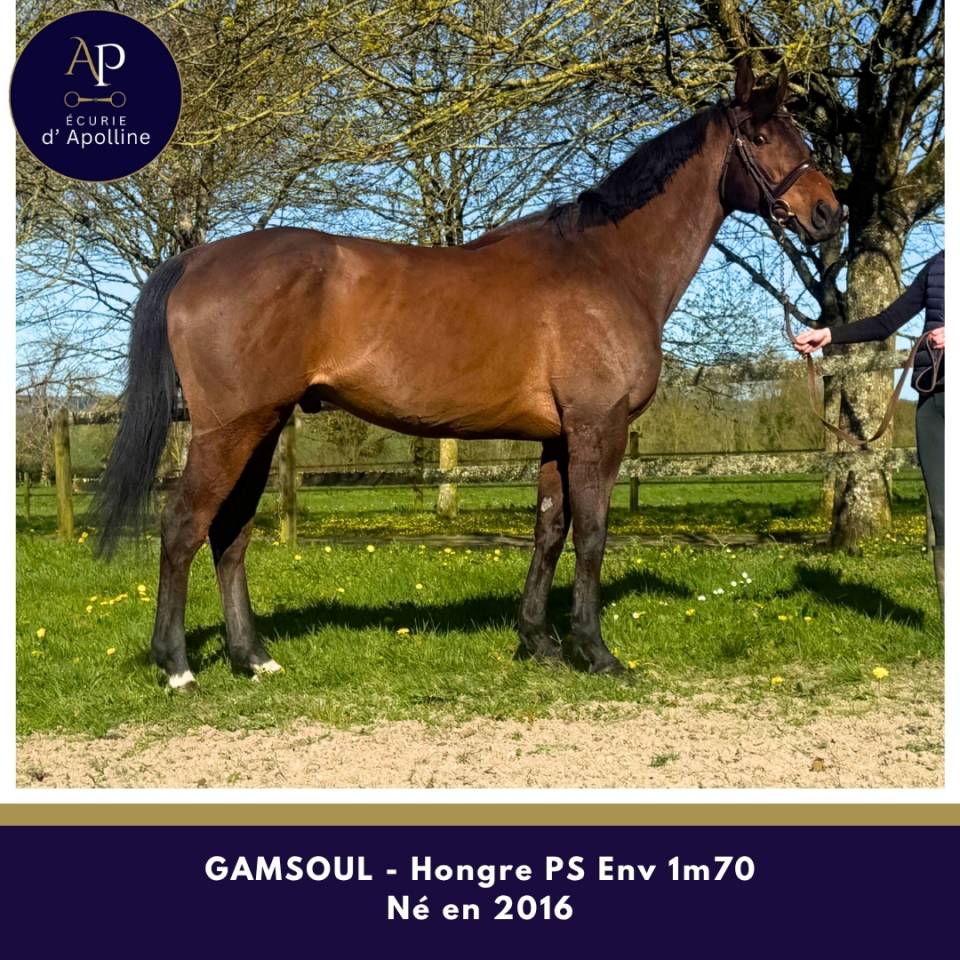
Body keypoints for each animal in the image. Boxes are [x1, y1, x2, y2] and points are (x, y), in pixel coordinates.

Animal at [94, 59, 843, 691]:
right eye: (764, 133)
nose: (828, 212)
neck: (607, 265)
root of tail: (196, 260)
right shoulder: (597, 429)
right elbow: (593, 534)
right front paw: (595, 651)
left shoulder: (557, 437)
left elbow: (549, 530)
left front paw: (538, 642)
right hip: (229, 431)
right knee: (183, 528)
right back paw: (178, 666)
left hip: (264, 427)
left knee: (231, 535)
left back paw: (254, 658)